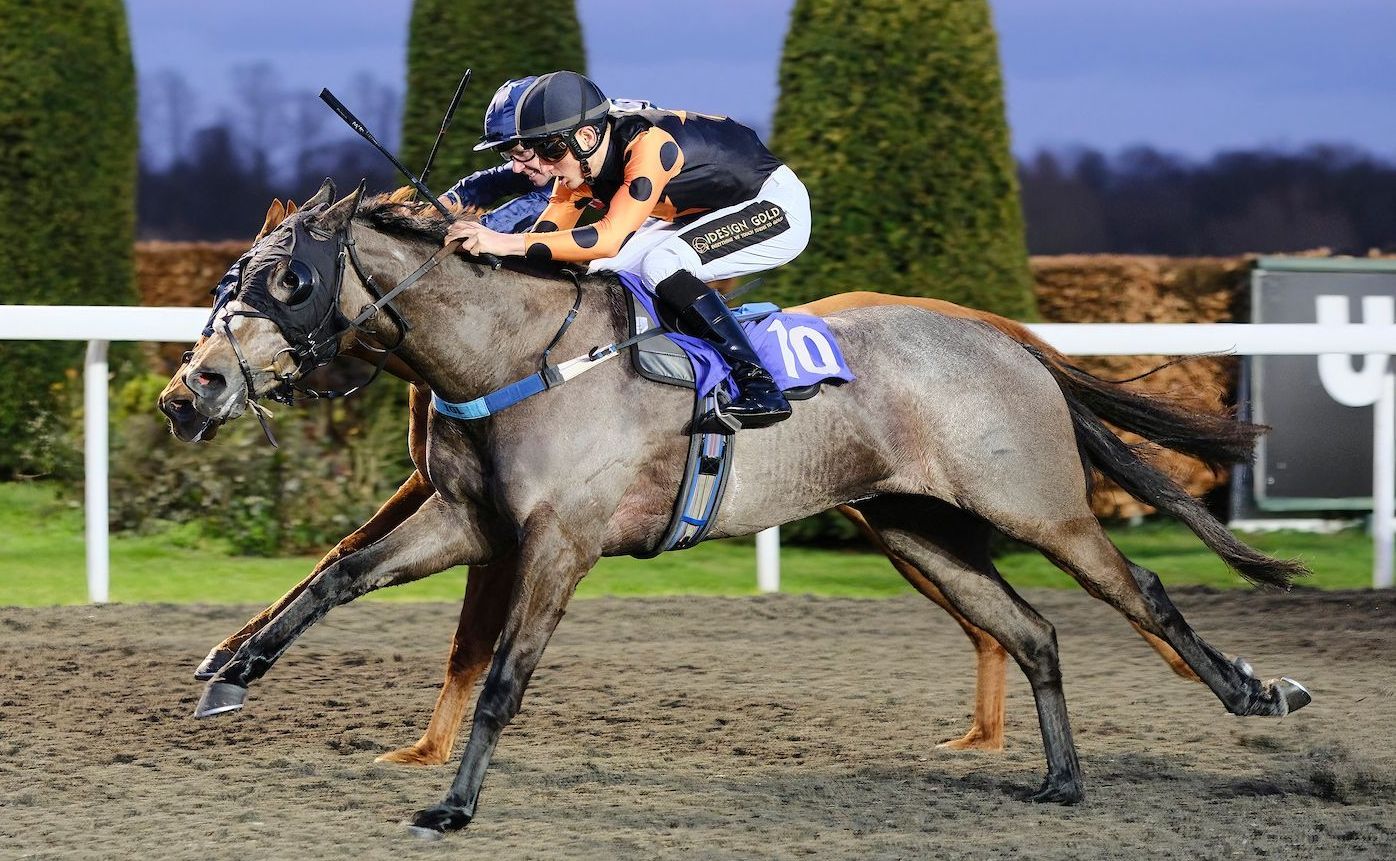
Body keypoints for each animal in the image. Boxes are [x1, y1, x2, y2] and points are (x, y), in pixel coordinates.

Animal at [169, 179, 1311, 837]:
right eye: (233, 276)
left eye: (287, 280)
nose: (195, 389)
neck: (512, 355)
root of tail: (1004, 336)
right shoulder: (471, 522)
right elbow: (339, 574)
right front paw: (234, 669)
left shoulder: (559, 542)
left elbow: (500, 677)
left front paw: (451, 802)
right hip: (916, 528)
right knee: (1031, 631)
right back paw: (1062, 780)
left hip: (1040, 510)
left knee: (1144, 590)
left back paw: (1257, 693)